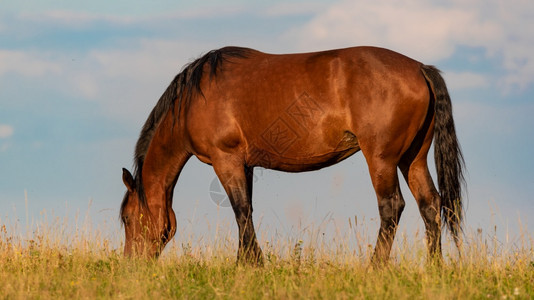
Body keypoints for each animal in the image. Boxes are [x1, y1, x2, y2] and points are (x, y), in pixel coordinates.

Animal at [120, 45, 464, 264]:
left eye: (126, 218)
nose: (131, 264)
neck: (194, 99)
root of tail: (420, 69)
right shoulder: (244, 164)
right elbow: (247, 211)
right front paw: (246, 263)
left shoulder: (225, 159)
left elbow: (240, 211)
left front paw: (251, 264)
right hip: (412, 159)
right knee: (430, 204)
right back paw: (435, 268)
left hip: (382, 160)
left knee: (392, 207)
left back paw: (375, 268)